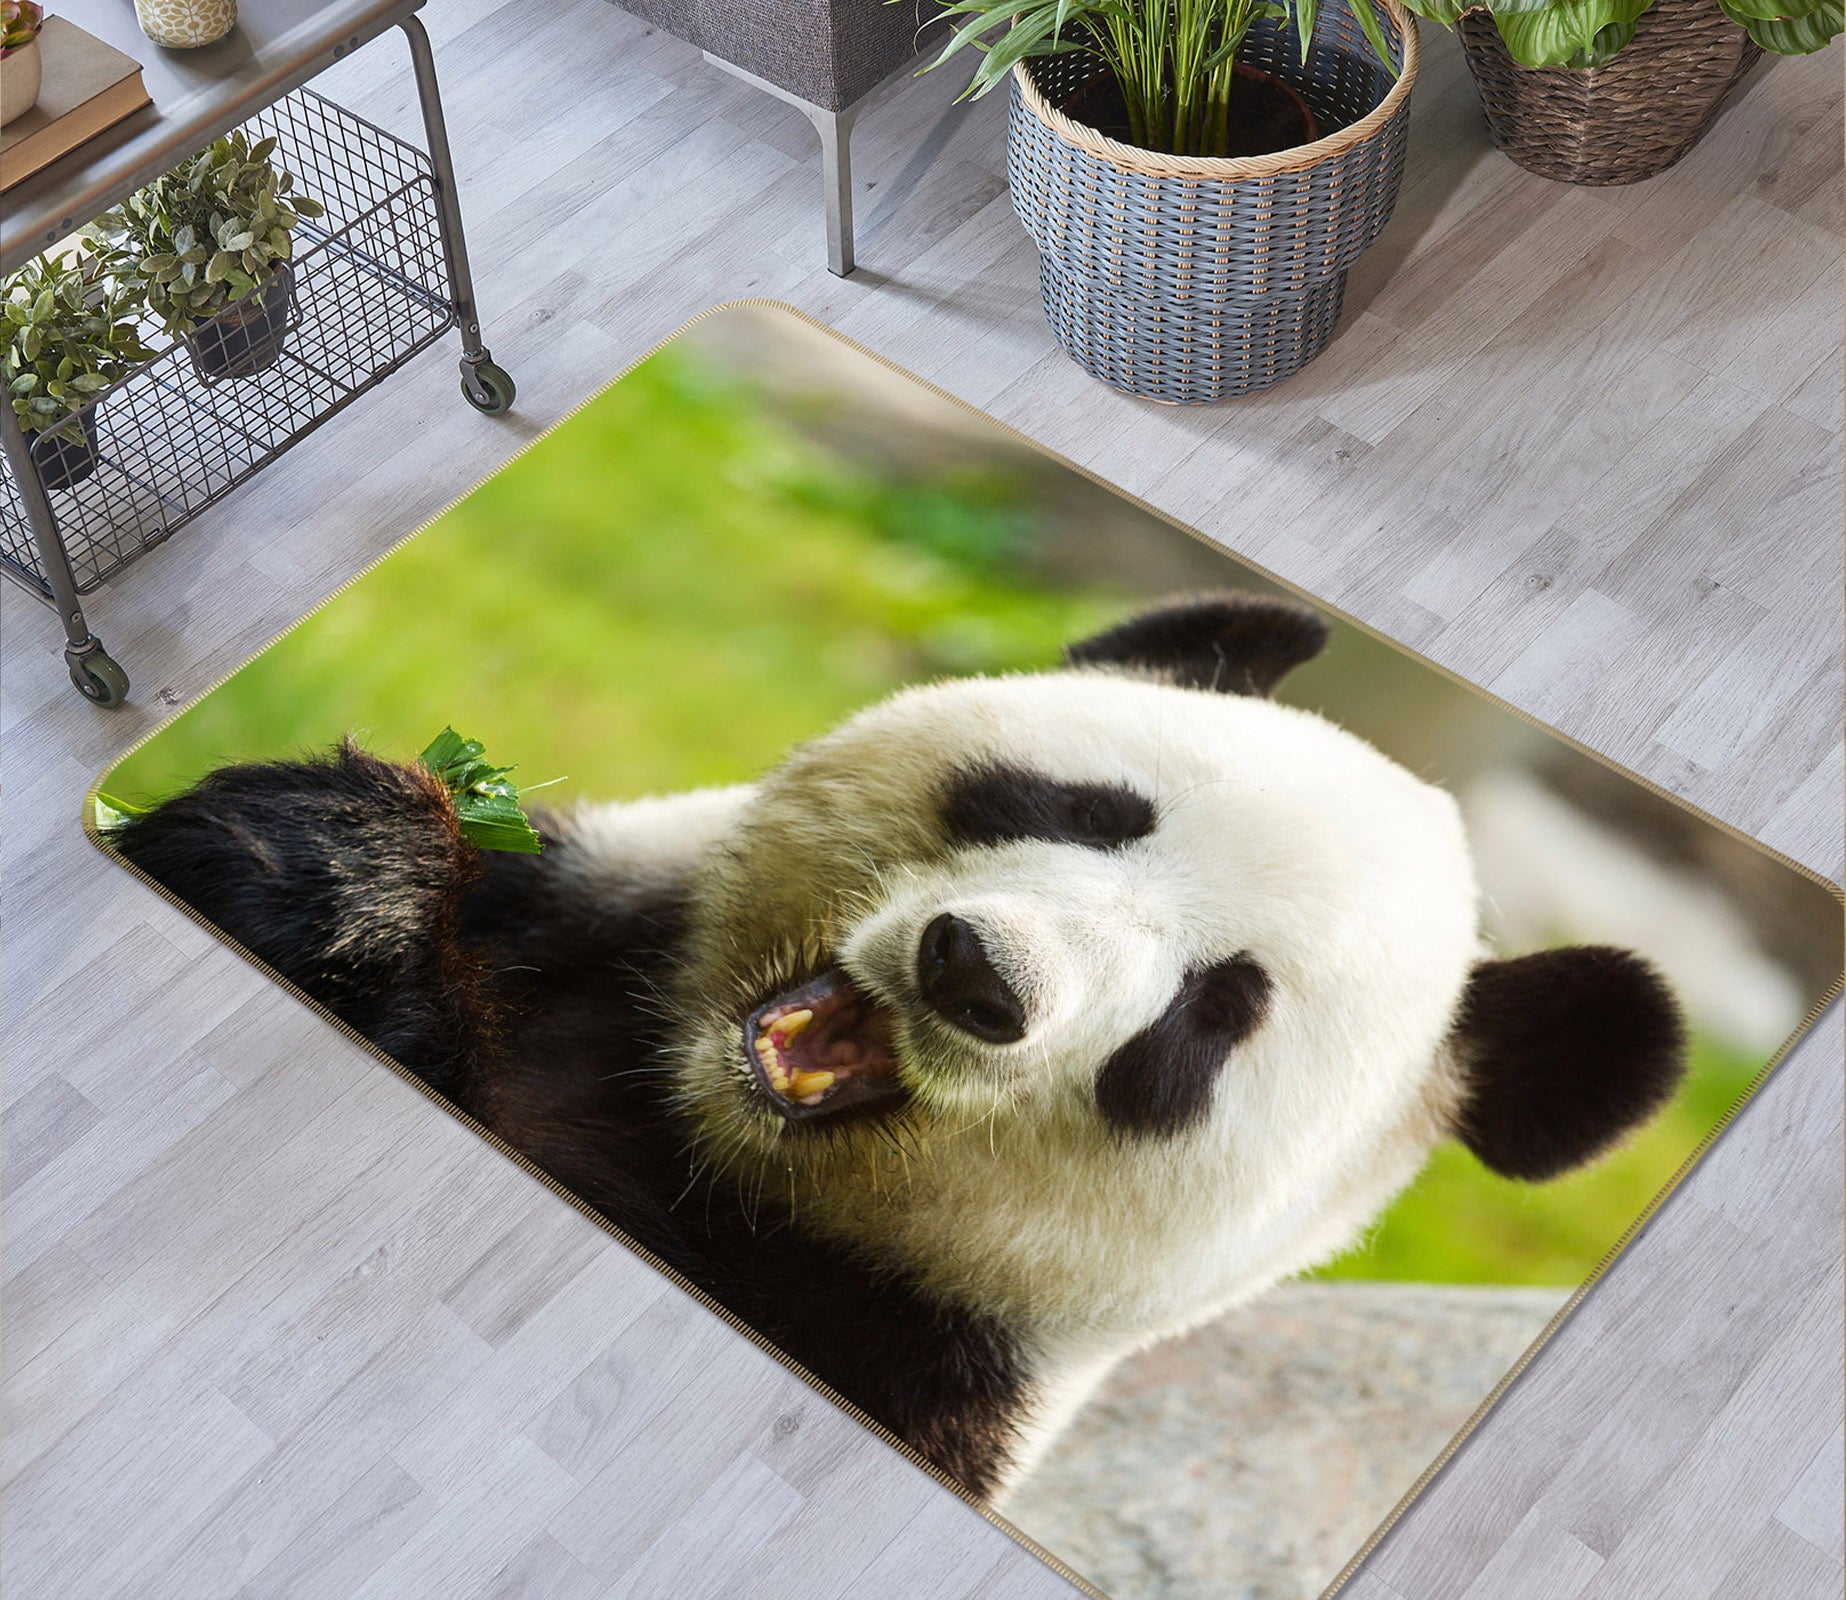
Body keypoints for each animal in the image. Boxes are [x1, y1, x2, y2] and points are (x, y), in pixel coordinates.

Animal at [113, 592, 1686, 1504]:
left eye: (1211, 1016)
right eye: (1089, 809)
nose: (976, 976)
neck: (696, 1134)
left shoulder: (910, 1360)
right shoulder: (571, 911)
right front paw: (337, 864)